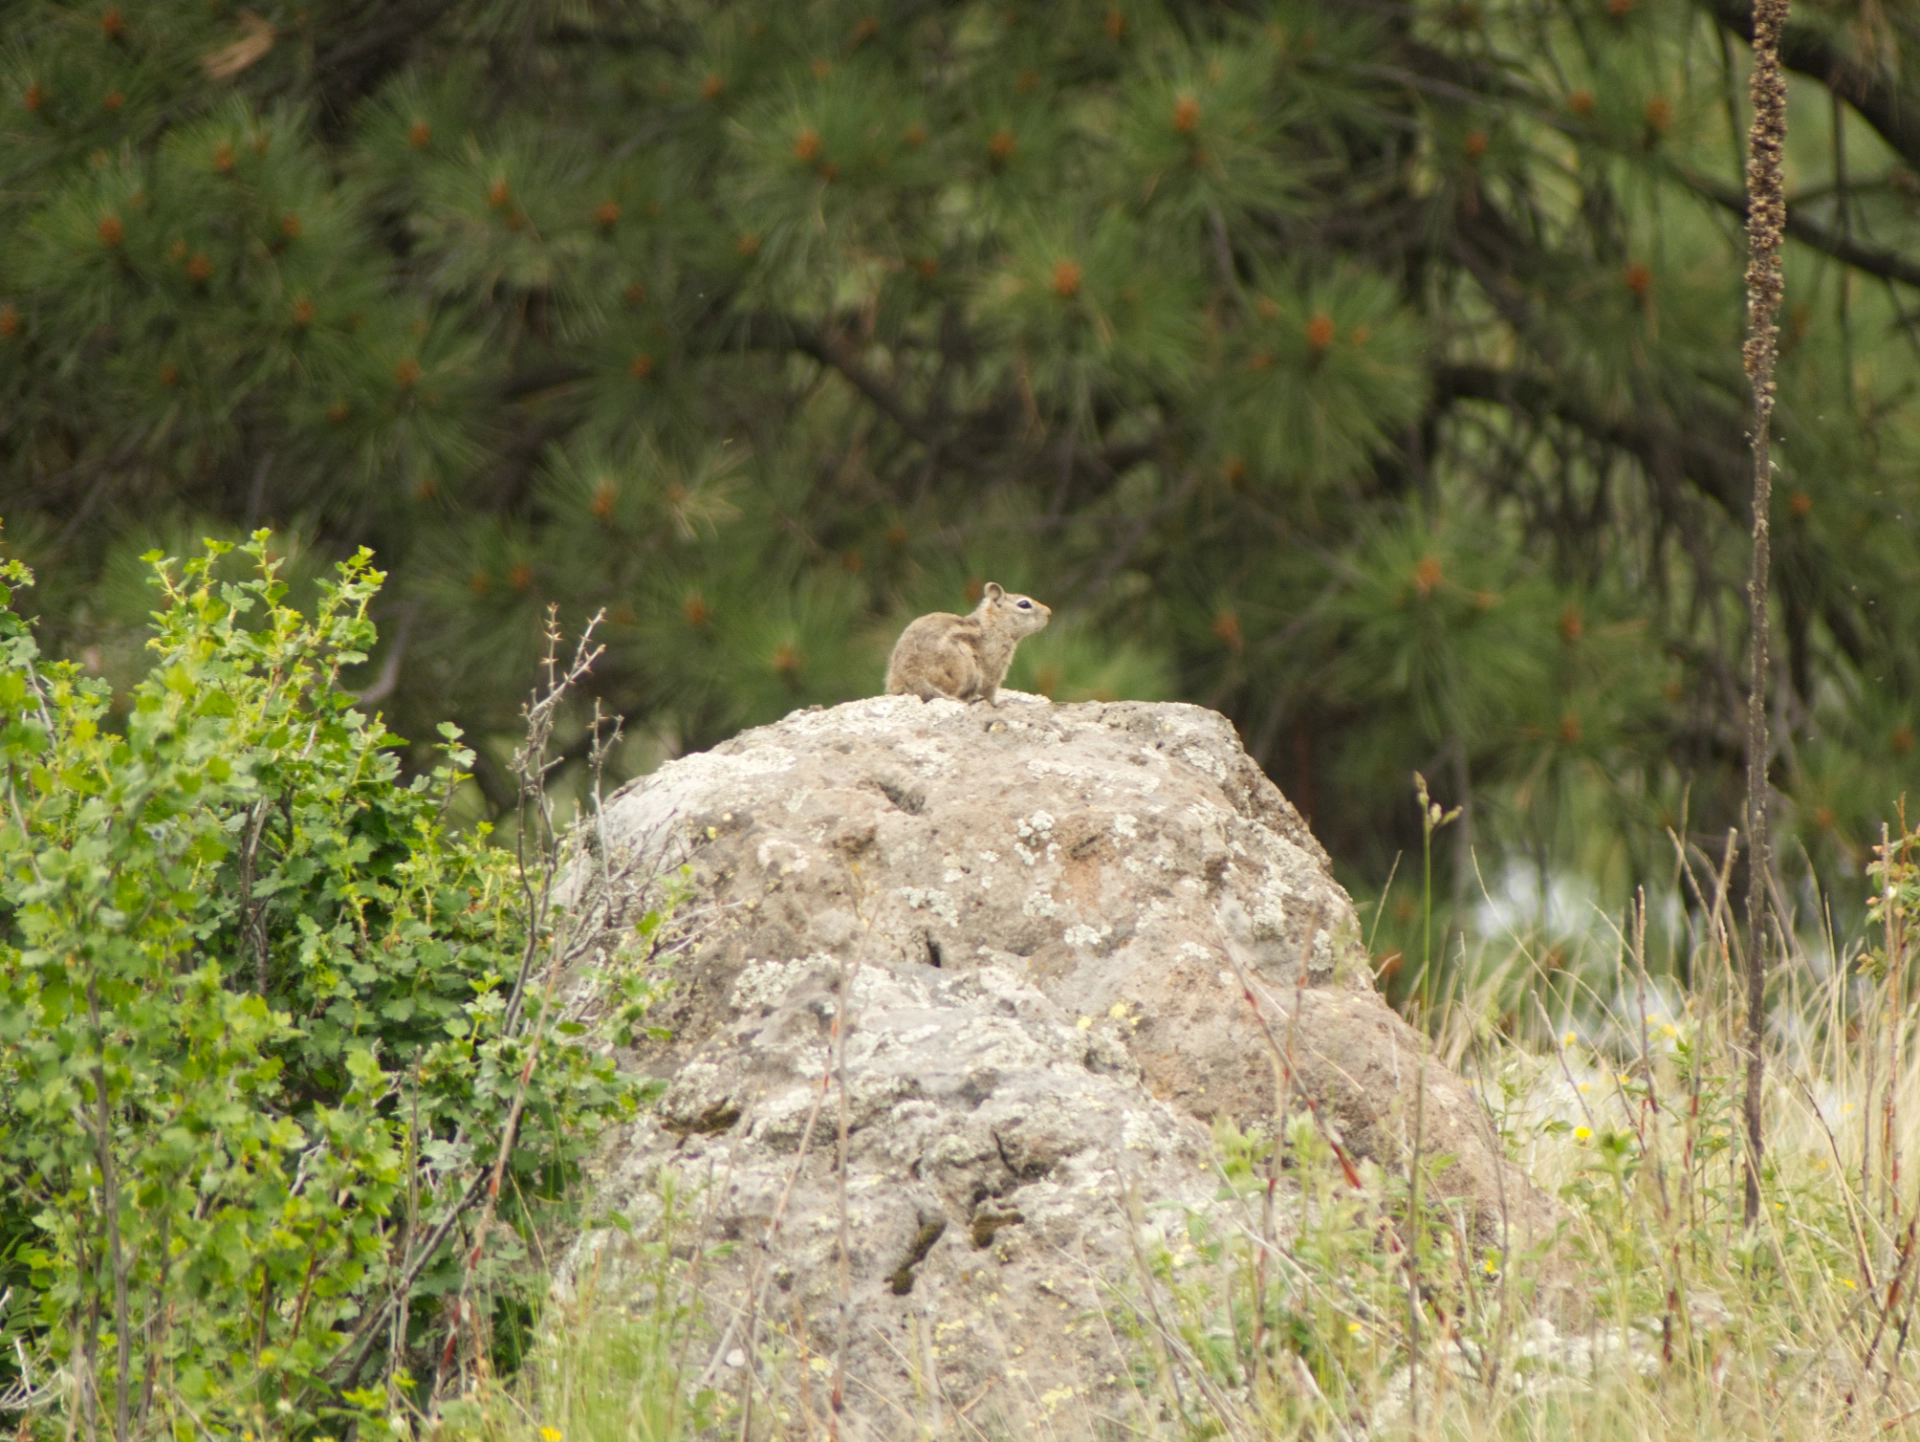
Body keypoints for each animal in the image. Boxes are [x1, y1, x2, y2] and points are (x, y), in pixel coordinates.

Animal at [885, 582, 1051, 705]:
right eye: (1024, 604)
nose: (1049, 612)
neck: (991, 624)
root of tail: (910, 673)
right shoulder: (995, 667)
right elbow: (990, 692)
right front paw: (999, 703)